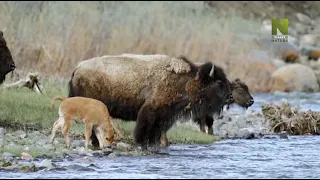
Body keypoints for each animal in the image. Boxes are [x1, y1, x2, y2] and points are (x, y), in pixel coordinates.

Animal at [68, 53, 232, 150]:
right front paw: (142, 143)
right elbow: (145, 129)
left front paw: (154, 144)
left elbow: (157, 132)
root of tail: (78, 68)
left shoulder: (165, 116)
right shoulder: (151, 111)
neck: (187, 81)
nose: (230, 96)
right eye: (219, 82)